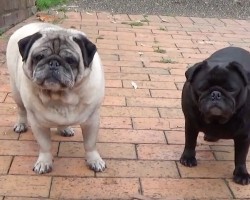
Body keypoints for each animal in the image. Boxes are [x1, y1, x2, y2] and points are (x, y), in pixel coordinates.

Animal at [181, 46, 250, 184]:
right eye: (202, 88)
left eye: (231, 89)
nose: (216, 94)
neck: (217, 120)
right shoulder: (190, 123)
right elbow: (190, 141)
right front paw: (188, 158)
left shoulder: (244, 135)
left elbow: (241, 155)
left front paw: (241, 173)